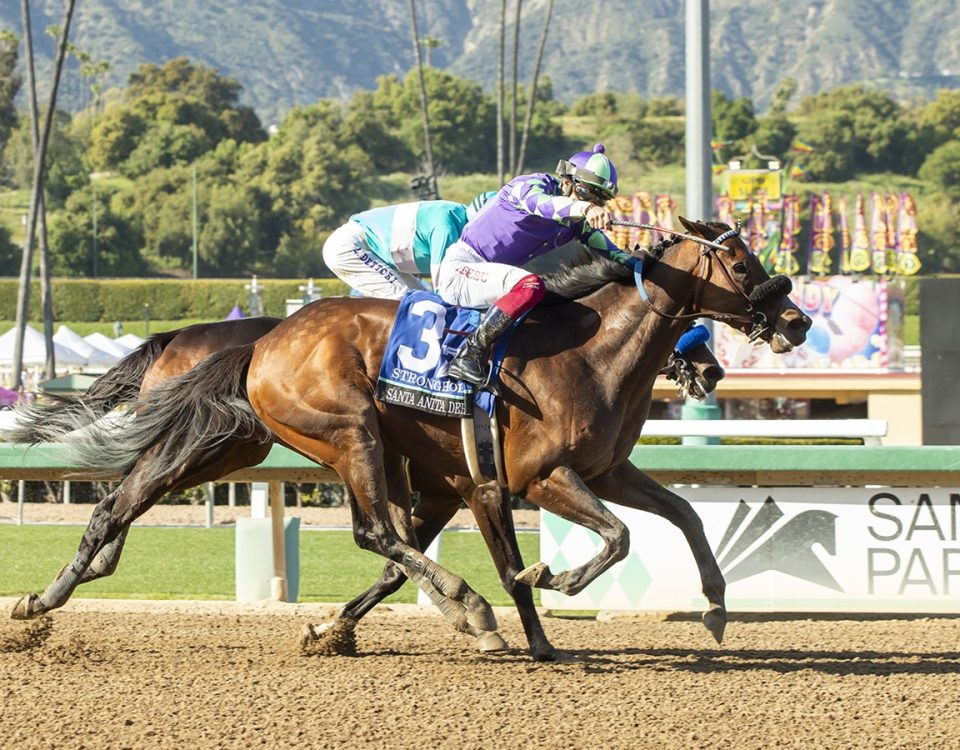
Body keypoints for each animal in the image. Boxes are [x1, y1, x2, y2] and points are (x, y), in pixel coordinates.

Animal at [43, 220, 808, 656]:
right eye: (742, 264)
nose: (796, 321)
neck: (588, 350)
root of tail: (264, 340)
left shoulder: (588, 473)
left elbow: (682, 513)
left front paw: (715, 607)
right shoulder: (529, 479)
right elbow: (603, 541)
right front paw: (546, 587)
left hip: (246, 443)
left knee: (126, 501)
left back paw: (47, 597)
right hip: (346, 431)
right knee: (371, 531)